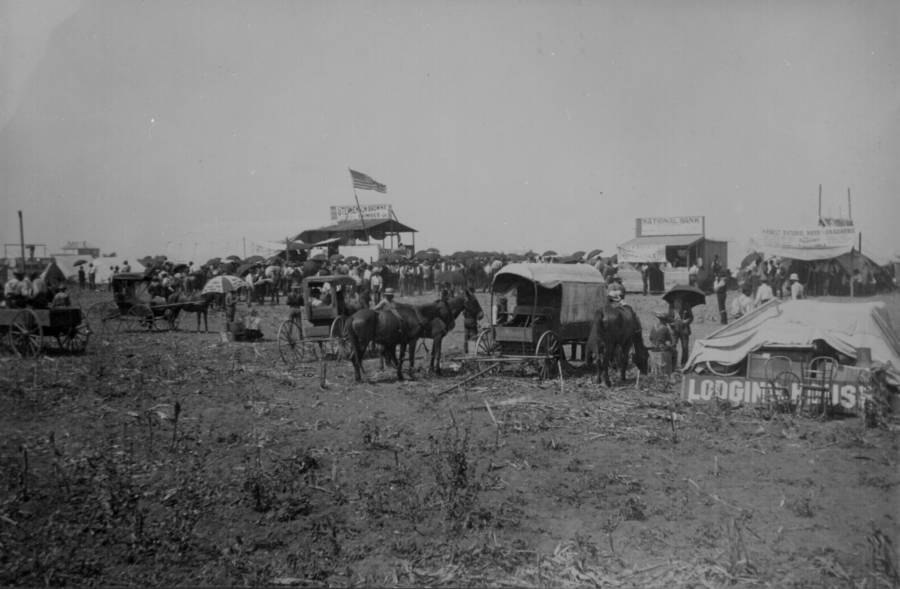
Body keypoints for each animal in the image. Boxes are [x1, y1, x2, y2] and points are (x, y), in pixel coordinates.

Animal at [344, 290, 486, 382]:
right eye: (474, 301)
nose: (481, 315)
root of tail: (353, 317)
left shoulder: (421, 339)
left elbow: (429, 354)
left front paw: (430, 370)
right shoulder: (421, 339)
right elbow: (424, 355)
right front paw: (433, 371)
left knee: (355, 357)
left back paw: (360, 377)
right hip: (363, 342)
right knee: (357, 358)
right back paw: (361, 377)